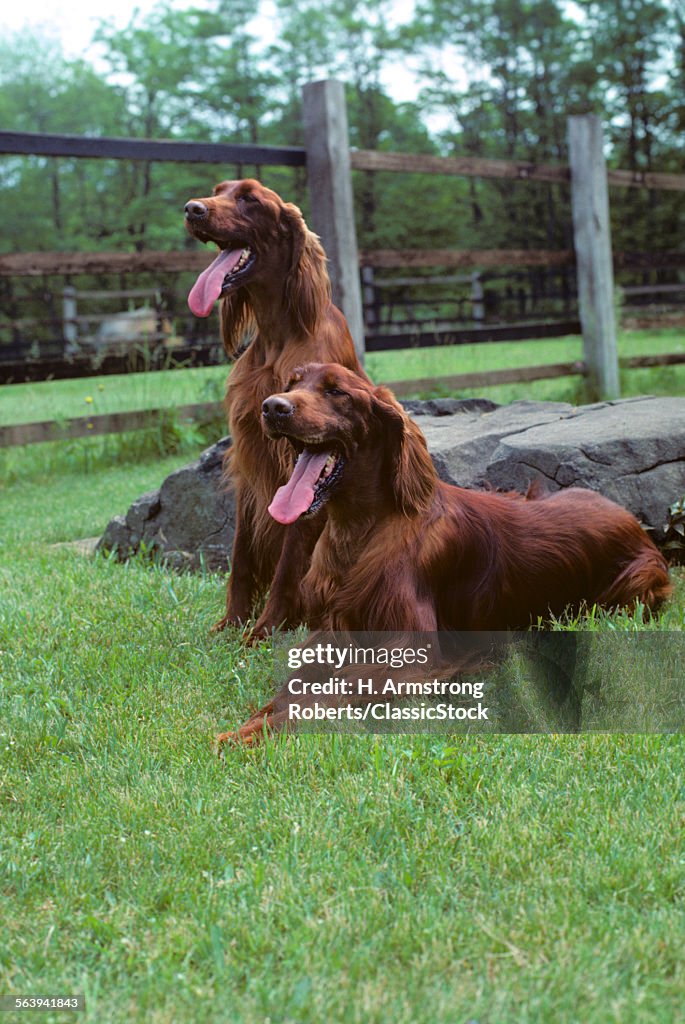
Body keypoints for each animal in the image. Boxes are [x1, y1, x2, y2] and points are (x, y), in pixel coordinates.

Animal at [181, 180, 362, 634]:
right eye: (218, 190)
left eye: (249, 198)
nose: (191, 209)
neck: (279, 337)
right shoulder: (250, 456)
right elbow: (241, 556)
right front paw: (231, 623)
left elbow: (287, 564)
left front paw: (264, 630)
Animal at [218, 366, 667, 745]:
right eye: (291, 383)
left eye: (335, 391)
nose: (272, 407)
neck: (360, 529)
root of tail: (630, 519)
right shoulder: (332, 631)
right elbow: (294, 684)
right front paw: (253, 720)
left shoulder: (413, 656)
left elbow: (327, 691)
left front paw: (242, 735)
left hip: (637, 584)